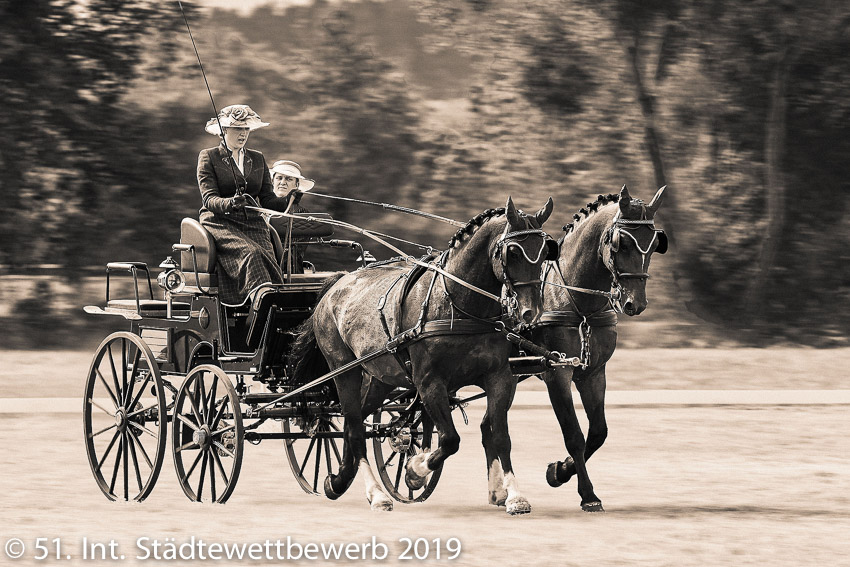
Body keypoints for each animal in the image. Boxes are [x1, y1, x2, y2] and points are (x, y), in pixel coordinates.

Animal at [294, 200, 556, 516]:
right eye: (513, 252)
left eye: (545, 251)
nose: (531, 312)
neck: (459, 305)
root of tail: (336, 283)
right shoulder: (430, 383)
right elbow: (450, 440)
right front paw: (415, 471)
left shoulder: (500, 378)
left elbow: (500, 437)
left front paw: (515, 495)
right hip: (344, 371)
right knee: (355, 428)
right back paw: (376, 493)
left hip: (381, 376)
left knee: (350, 424)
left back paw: (339, 481)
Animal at [486, 184, 664, 512]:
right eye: (621, 243)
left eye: (655, 242)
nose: (635, 303)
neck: (576, 302)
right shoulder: (558, 375)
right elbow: (575, 435)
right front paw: (587, 494)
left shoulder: (593, 373)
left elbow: (598, 432)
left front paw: (560, 470)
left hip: (508, 378)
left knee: (488, 426)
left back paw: (499, 492)